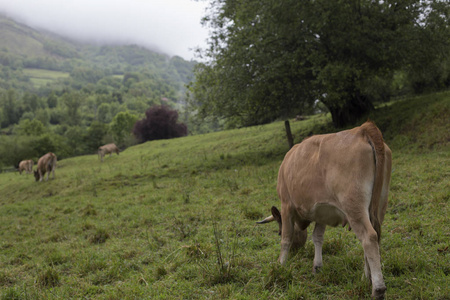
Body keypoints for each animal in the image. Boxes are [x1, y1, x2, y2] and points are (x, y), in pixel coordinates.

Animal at [258, 120, 392, 298]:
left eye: (278, 232)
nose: (295, 254)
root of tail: (361, 130)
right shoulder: (322, 211)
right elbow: (317, 237)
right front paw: (317, 266)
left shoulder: (286, 205)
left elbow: (286, 238)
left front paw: (280, 265)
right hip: (379, 205)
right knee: (375, 235)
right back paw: (365, 278)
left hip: (354, 207)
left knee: (369, 237)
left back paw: (378, 288)